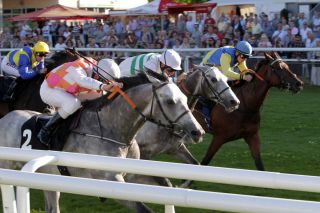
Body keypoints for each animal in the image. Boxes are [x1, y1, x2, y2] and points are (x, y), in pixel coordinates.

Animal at [0, 72, 205, 213]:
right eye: (170, 101)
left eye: (185, 98)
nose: (198, 132)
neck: (112, 129)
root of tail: (4, 118)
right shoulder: (109, 180)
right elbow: (144, 209)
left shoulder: (133, 174)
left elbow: (166, 184)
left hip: (49, 177)